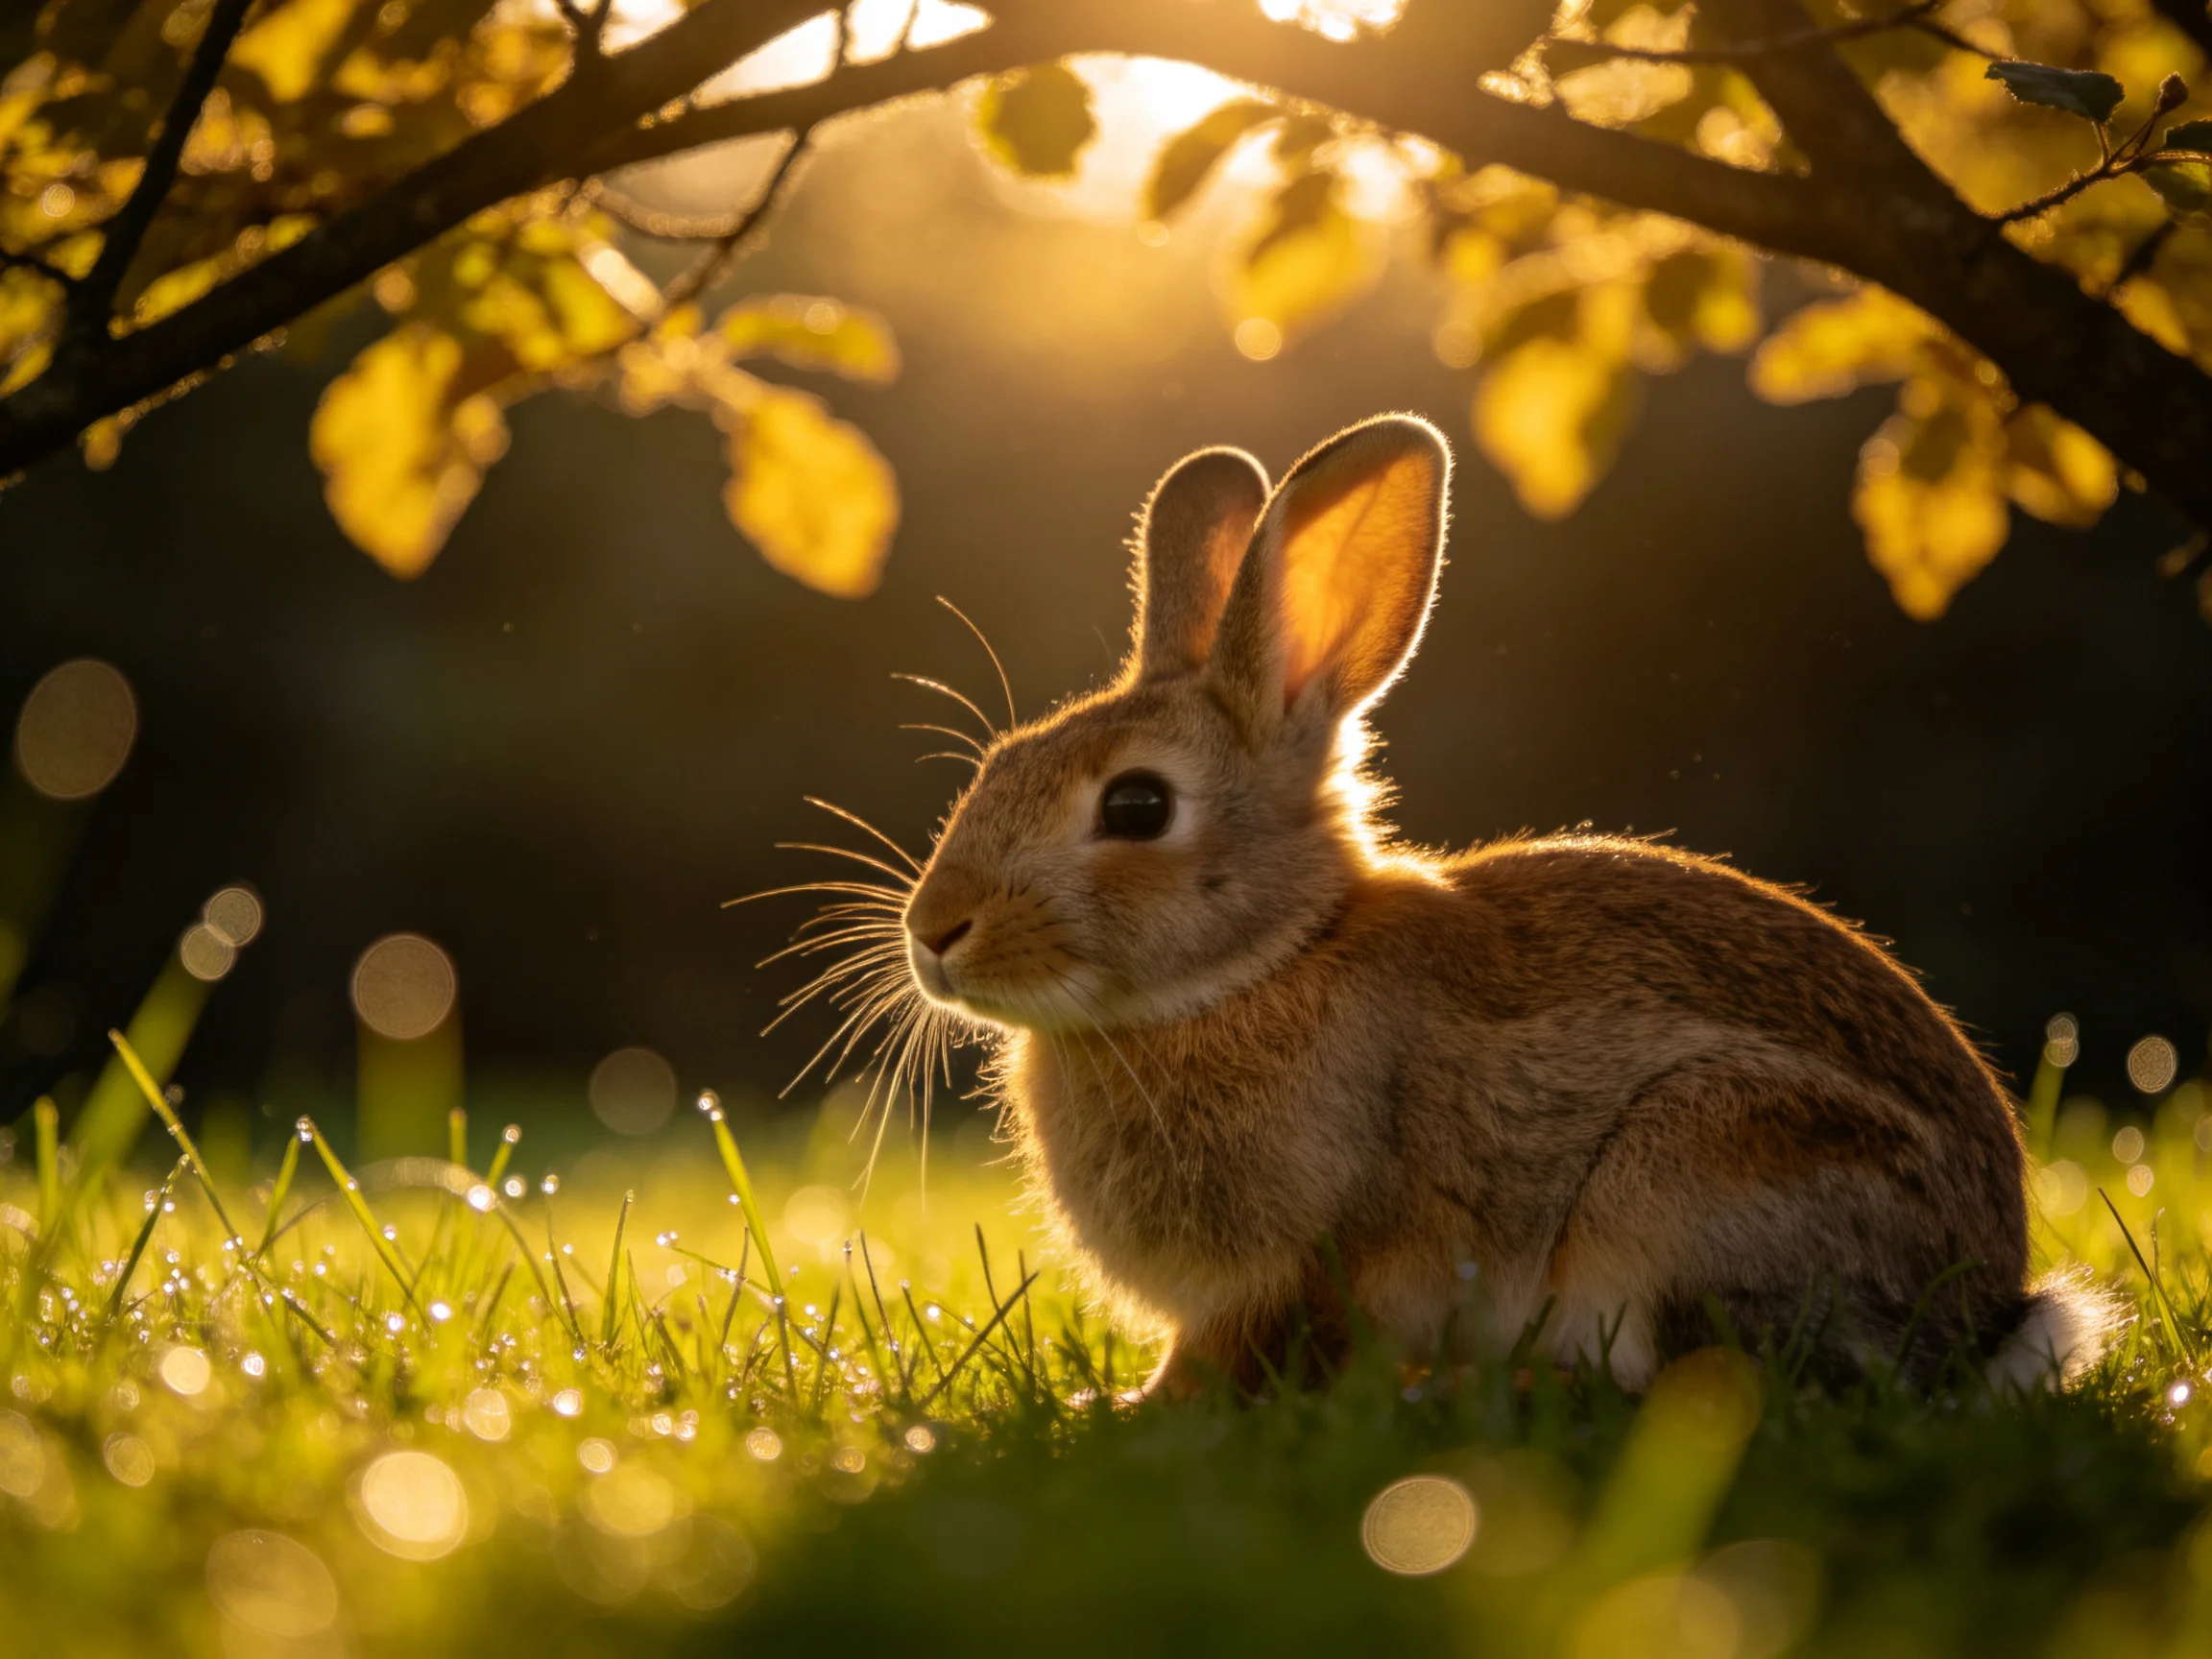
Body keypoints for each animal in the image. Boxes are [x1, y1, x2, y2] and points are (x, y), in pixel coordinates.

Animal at [888, 412, 2118, 1397]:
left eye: (1137, 806)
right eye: (998, 764)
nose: (933, 931)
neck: (1263, 964)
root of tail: (1986, 1316)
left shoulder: (1302, 1266)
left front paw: (1130, 1412)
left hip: (1692, 1170)